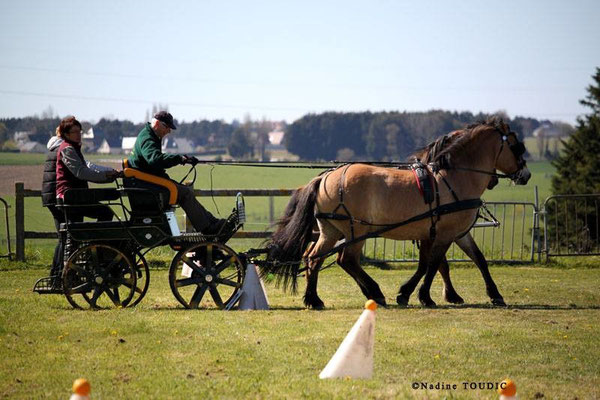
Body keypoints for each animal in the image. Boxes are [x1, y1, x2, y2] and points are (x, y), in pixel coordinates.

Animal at [264, 117, 528, 308]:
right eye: (517, 147)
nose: (526, 175)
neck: (454, 177)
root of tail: (325, 177)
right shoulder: (444, 234)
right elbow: (433, 264)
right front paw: (423, 296)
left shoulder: (453, 233)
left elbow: (475, 259)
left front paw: (494, 294)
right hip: (356, 230)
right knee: (345, 259)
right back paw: (374, 293)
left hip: (330, 231)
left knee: (313, 258)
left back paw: (314, 299)